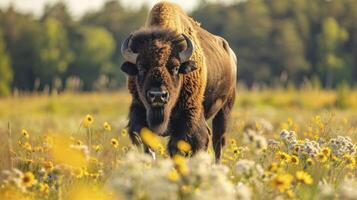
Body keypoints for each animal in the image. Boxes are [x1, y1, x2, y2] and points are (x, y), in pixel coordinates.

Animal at [119, 1, 236, 162]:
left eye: (175, 68)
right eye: (141, 67)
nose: (158, 96)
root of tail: (231, 55)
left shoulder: (188, 117)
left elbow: (179, 147)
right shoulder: (139, 111)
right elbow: (147, 146)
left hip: (225, 109)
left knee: (217, 142)